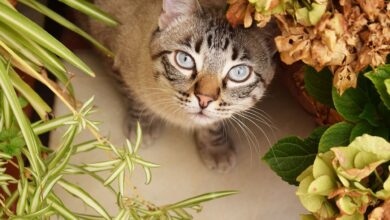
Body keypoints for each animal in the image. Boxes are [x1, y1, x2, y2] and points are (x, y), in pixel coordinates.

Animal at [87, 0, 278, 173]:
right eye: (185, 60)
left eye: (239, 72)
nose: (204, 99)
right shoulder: (108, 48)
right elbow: (133, 95)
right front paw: (142, 127)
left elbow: (213, 124)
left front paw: (217, 149)